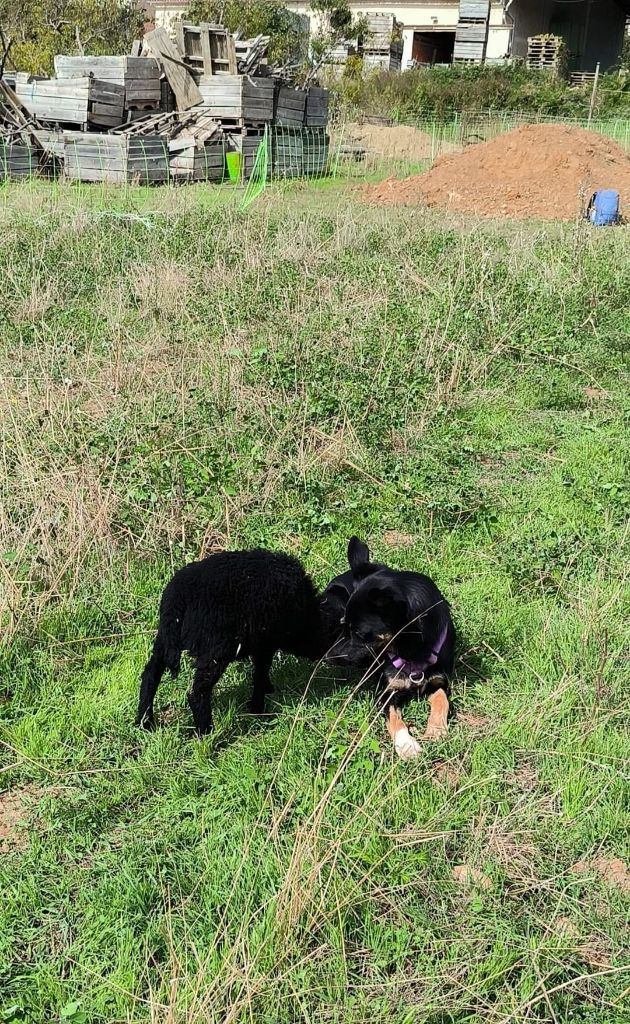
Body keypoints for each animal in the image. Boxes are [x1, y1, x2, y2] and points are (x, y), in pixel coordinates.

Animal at [135, 548, 331, 733]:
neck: (308, 615)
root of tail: (178, 599)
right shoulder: (266, 642)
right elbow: (260, 673)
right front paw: (257, 709)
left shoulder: (260, 643)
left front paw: (267, 691)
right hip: (216, 647)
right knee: (198, 691)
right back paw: (206, 731)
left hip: (164, 637)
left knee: (150, 674)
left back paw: (145, 722)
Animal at [329, 540, 452, 757]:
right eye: (345, 626)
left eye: (359, 633)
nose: (328, 657)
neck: (411, 651)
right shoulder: (386, 691)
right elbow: (394, 719)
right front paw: (406, 744)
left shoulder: (439, 680)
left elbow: (441, 699)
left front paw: (436, 730)